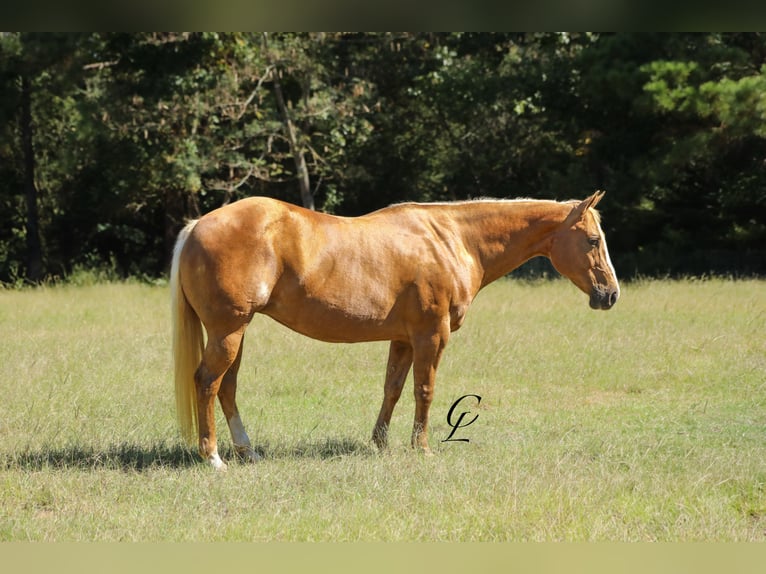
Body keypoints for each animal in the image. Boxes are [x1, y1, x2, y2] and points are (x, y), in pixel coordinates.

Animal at [171, 191, 620, 470]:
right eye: (592, 240)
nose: (611, 294)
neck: (453, 240)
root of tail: (196, 226)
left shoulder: (403, 339)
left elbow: (393, 388)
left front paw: (380, 443)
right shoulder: (431, 336)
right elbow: (425, 390)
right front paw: (421, 448)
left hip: (236, 332)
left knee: (227, 387)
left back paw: (247, 452)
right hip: (228, 331)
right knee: (208, 382)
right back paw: (213, 457)